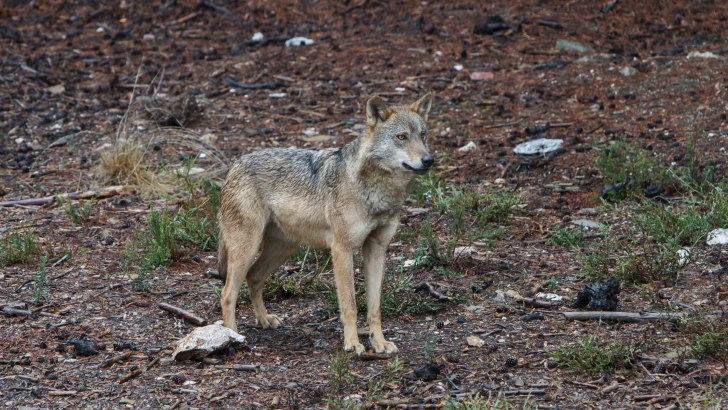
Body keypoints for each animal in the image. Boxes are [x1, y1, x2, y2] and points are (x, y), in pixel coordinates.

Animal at [215, 91, 432, 354]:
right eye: (401, 137)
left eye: (423, 135)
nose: (429, 160)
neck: (377, 192)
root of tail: (234, 165)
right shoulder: (341, 249)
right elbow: (350, 305)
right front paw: (353, 344)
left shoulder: (377, 249)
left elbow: (374, 307)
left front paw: (379, 342)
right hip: (247, 249)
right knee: (227, 293)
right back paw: (232, 336)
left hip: (283, 248)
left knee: (254, 277)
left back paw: (264, 320)